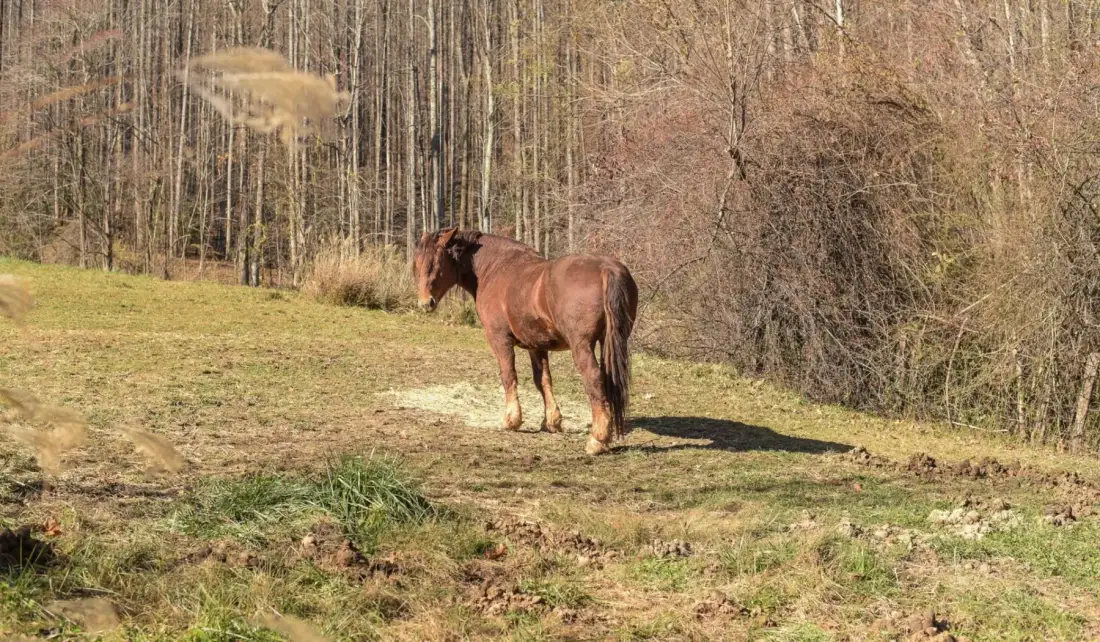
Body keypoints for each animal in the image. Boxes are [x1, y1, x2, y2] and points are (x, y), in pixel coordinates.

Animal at [413, 227, 638, 455]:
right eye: (417, 263)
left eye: (436, 263)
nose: (425, 303)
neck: (495, 268)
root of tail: (606, 268)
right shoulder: (536, 346)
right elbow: (543, 380)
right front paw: (551, 422)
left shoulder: (499, 339)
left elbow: (508, 375)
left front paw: (511, 420)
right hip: (608, 343)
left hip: (581, 346)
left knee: (594, 379)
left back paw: (597, 440)